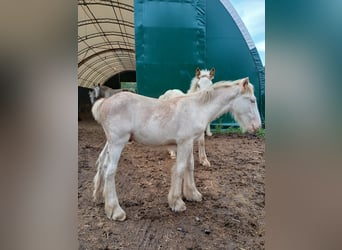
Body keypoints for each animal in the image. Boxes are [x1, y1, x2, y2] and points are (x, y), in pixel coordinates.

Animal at [92, 77, 260, 221]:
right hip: (118, 143)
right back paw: (115, 210)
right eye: (252, 100)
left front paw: (193, 194)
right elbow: (179, 169)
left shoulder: (188, 142)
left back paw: (99, 197)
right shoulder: (184, 142)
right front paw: (177, 202)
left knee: (102, 163)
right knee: (110, 171)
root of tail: (104, 103)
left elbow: (190, 166)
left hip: (110, 142)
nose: (257, 127)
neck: (197, 108)